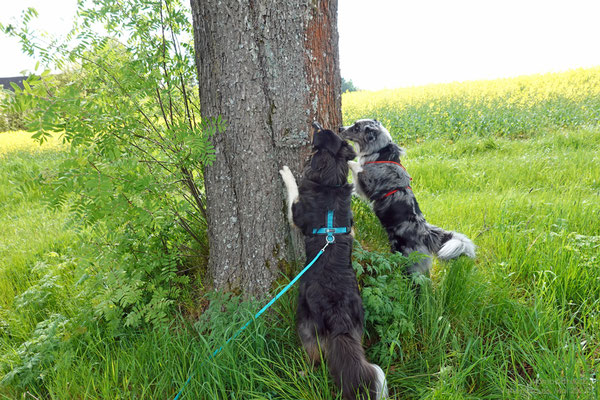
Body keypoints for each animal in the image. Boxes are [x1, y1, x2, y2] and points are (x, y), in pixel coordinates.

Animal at [278, 122, 386, 400]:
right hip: (358, 325)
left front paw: (286, 173)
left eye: (319, 135)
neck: (330, 183)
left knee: (316, 358)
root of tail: (339, 317)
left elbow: (293, 190)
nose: (317, 124)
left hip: (305, 324)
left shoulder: (296, 215)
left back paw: (304, 372)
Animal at [340, 119, 476, 276]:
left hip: (406, 257)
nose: (340, 128)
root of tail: (425, 232)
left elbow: (356, 165)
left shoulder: (366, 184)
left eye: (356, 128)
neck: (379, 152)